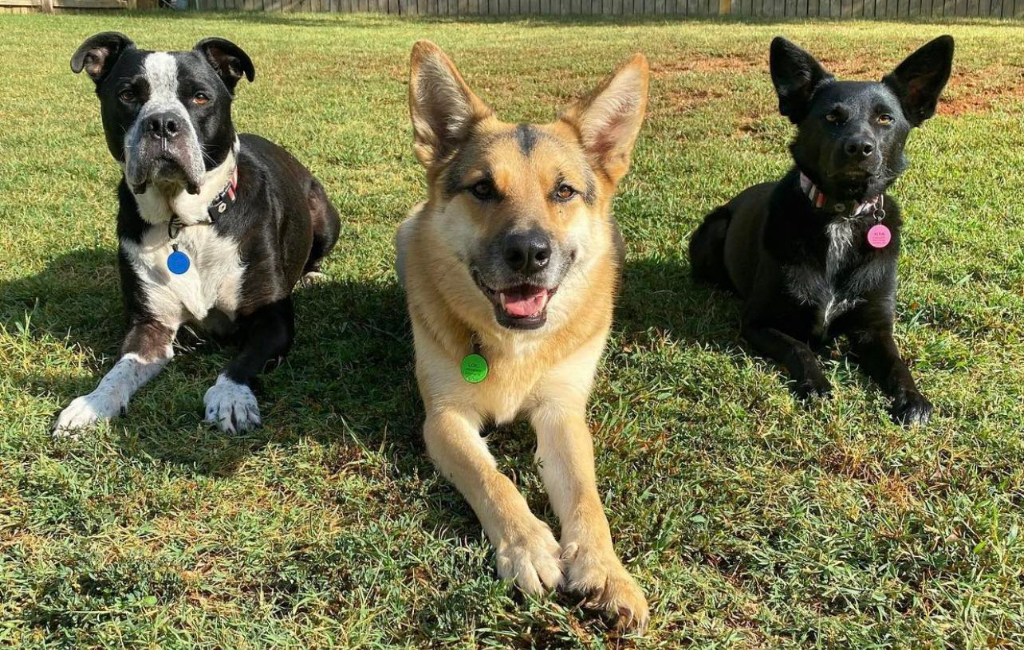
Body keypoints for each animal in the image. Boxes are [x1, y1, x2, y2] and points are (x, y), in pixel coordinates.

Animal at [57, 33, 339, 434]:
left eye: (201, 97)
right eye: (127, 95)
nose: (162, 123)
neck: (185, 223)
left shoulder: (272, 320)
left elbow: (241, 363)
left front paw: (231, 397)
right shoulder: (151, 325)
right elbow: (120, 369)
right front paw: (91, 403)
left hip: (325, 217)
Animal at [395, 41, 651, 630]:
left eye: (564, 190)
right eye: (483, 188)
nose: (529, 253)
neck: (514, 345)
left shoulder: (562, 413)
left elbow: (586, 498)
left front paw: (606, 570)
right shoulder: (443, 419)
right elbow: (494, 480)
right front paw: (529, 546)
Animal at [688, 35, 950, 423]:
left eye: (885, 118)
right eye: (831, 116)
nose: (859, 148)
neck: (841, 215)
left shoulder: (874, 328)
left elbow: (896, 363)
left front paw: (912, 398)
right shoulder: (758, 322)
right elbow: (800, 348)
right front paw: (816, 384)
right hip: (714, 231)